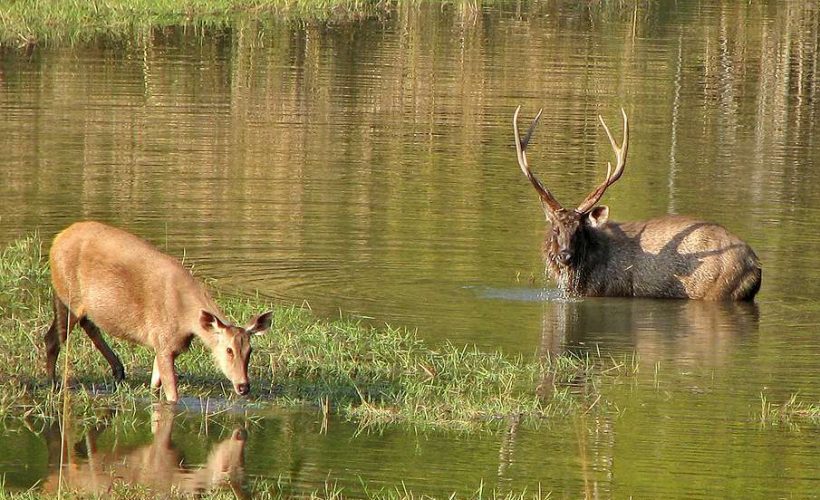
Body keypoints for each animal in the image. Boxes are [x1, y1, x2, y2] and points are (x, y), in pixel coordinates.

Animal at [45, 221, 272, 400]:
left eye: (250, 350)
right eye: (228, 350)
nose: (243, 386)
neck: (186, 319)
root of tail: (56, 241)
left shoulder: (165, 346)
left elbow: (155, 387)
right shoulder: (164, 341)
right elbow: (173, 396)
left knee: (85, 324)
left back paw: (118, 370)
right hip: (68, 296)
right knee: (53, 337)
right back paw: (53, 384)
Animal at [512, 106, 764, 300]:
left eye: (579, 229)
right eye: (555, 228)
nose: (565, 255)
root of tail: (755, 265)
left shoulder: (608, 290)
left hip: (717, 289)